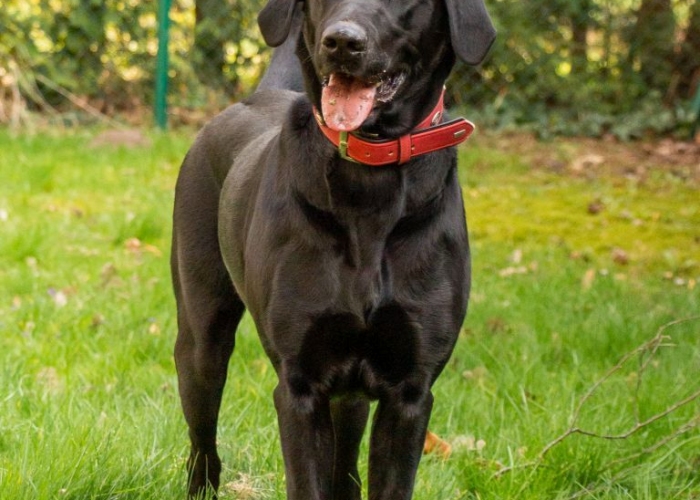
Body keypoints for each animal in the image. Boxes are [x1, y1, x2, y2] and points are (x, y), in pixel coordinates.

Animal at [172, 1, 494, 498]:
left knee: (345, 465)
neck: (368, 179)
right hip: (202, 339)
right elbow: (307, 482)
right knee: (203, 444)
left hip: (352, 396)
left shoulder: (410, 393)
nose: (342, 41)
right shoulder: (300, 387)